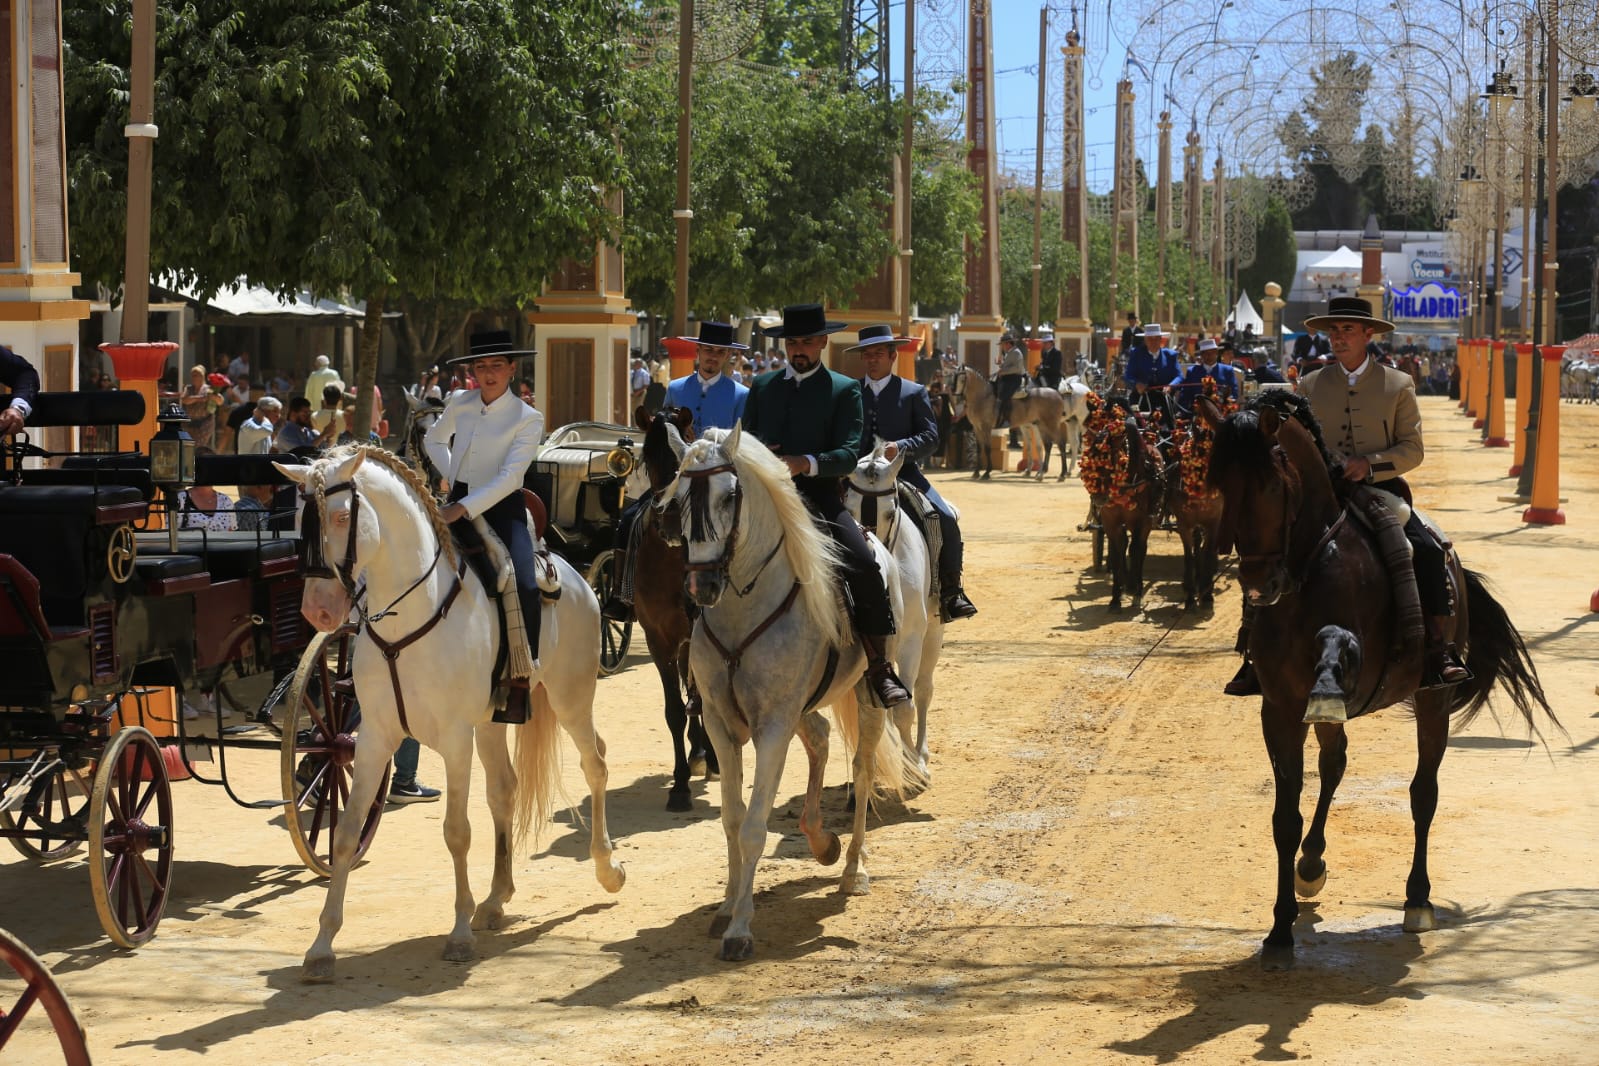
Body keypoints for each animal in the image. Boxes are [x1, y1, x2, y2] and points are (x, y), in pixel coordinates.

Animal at [275, 444, 623, 984]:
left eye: (340, 517)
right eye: (297, 520)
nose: (319, 612)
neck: (409, 618)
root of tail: (575, 578)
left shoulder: (455, 741)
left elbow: (457, 833)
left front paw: (458, 934)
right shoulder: (373, 739)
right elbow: (347, 835)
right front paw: (322, 946)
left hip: (571, 697)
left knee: (596, 764)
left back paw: (607, 868)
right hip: (493, 723)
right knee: (504, 790)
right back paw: (497, 899)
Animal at [655, 421, 921, 958]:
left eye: (730, 494)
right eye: (679, 500)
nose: (702, 587)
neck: (742, 610)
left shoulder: (773, 726)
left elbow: (755, 825)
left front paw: (740, 928)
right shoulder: (720, 724)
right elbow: (732, 819)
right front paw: (726, 906)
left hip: (866, 696)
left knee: (862, 772)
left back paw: (852, 868)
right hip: (800, 707)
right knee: (819, 738)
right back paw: (821, 840)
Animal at [844, 437, 940, 779]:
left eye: (891, 510)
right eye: (848, 505)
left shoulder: (911, 638)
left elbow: (905, 708)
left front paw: (914, 767)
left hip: (933, 632)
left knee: (924, 690)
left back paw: (921, 754)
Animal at [1202, 394, 1554, 978]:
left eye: (1271, 484)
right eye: (1217, 482)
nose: (1258, 585)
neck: (1311, 568)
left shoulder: (1352, 656)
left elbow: (1336, 644)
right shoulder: (1278, 710)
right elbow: (1285, 817)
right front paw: (1279, 929)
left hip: (1433, 700)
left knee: (1423, 794)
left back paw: (1417, 901)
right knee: (1335, 764)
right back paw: (1312, 862)